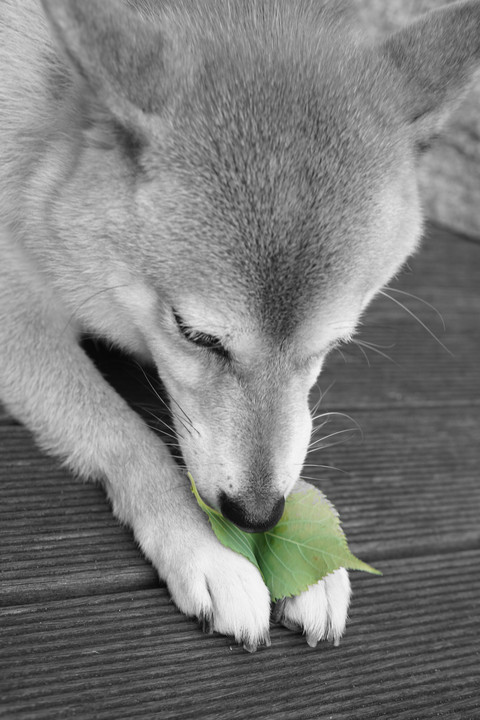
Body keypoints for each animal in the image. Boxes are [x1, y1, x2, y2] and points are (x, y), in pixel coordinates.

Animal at [0, 0, 480, 648]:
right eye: (195, 335)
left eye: (332, 345)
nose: (257, 516)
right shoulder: (18, 319)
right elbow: (123, 434)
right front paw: (207, 547)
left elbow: (292, 430)